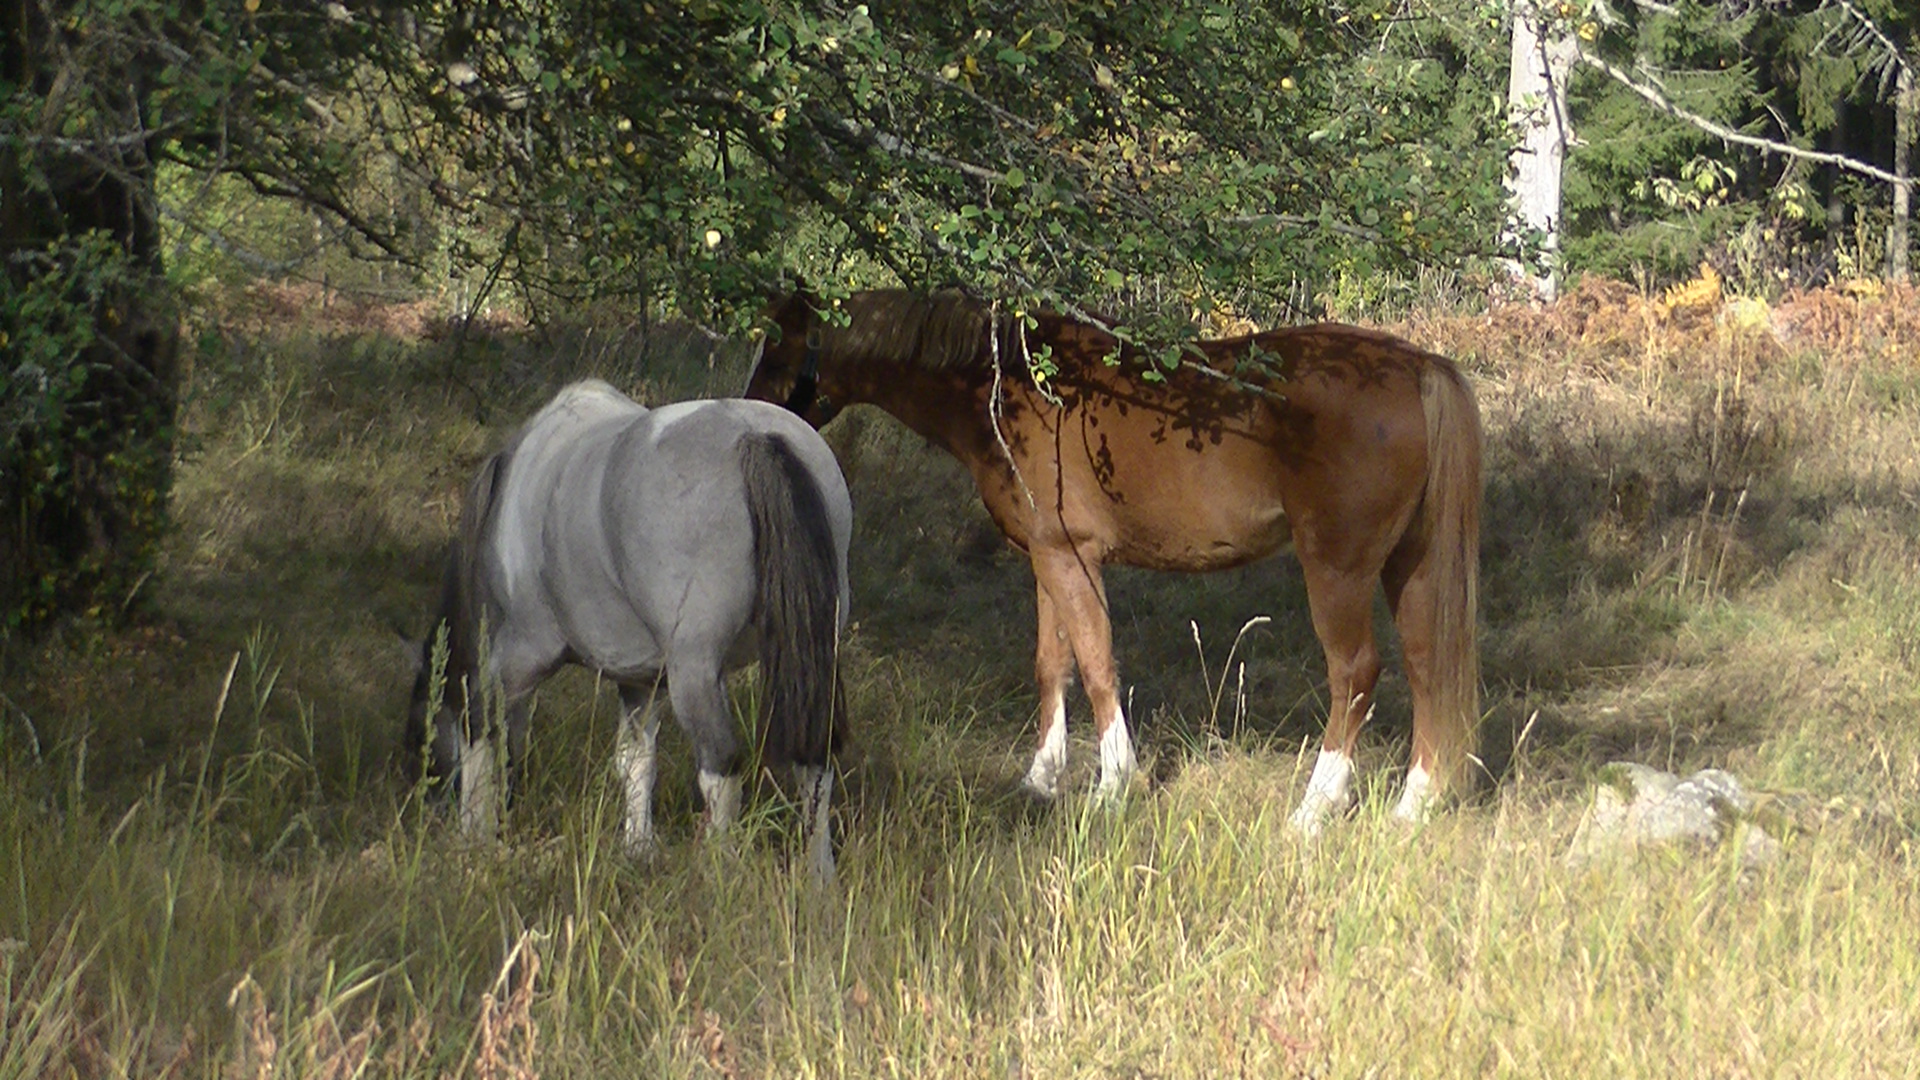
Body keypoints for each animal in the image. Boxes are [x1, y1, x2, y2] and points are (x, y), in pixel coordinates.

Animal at [408, 378, 852, 876]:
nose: (429, 815)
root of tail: (753, 436)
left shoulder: (522, 656)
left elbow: (480, 725)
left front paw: (474, 836)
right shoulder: (640, 680)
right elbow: (636, 759)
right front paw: (638, 847)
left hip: (694, 671)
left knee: (721, 765)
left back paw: (716, 871)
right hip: (812, 656)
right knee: (814, 765)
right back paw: (819, 879)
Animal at [748, 290, 1482, 826]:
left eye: (781, 346)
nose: (753, 418)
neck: (1013, 387)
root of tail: (1415, 367)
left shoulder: (1072, 556)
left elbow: (1098, 664)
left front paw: (1112, 786)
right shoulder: (1046, 557)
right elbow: (1053, 665)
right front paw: (1040, 779)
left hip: (1337, 568)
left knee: (1355, 675)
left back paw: (1312, 809)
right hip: (1408, 565)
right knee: (1426, 668)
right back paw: (1412, 807)